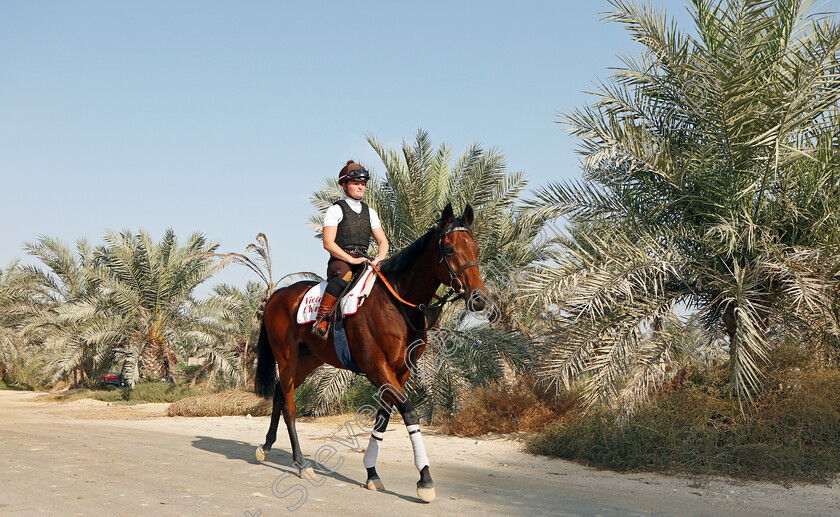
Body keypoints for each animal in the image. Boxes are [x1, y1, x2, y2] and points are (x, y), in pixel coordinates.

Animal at [253, 202, 488, 500]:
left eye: (476, 248)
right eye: (449, 249)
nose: (479, 298)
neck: (397, 304)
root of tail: (278, 294)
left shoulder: (400, 372)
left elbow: (382, 420)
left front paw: (372, 472)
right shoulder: (378, 368)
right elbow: (409, 413)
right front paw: (424, 479)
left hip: (308, 360)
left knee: (279, 395)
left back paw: (266, 447)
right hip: (286, 356)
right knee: (289, 405)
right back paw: (302, 463)